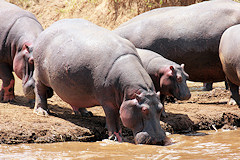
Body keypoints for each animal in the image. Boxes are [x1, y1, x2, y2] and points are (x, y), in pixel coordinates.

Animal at [32, 18, 166, 145]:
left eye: (160, 108)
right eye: (144, 110)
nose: (159, 140)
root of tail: (47, 29)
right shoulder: (108, 102)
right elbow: (113, 119)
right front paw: (115, 138)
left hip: (75, 89)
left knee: (77, 100)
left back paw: (86, 113)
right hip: (40, 74)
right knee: (39, 90)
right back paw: (42, 112)